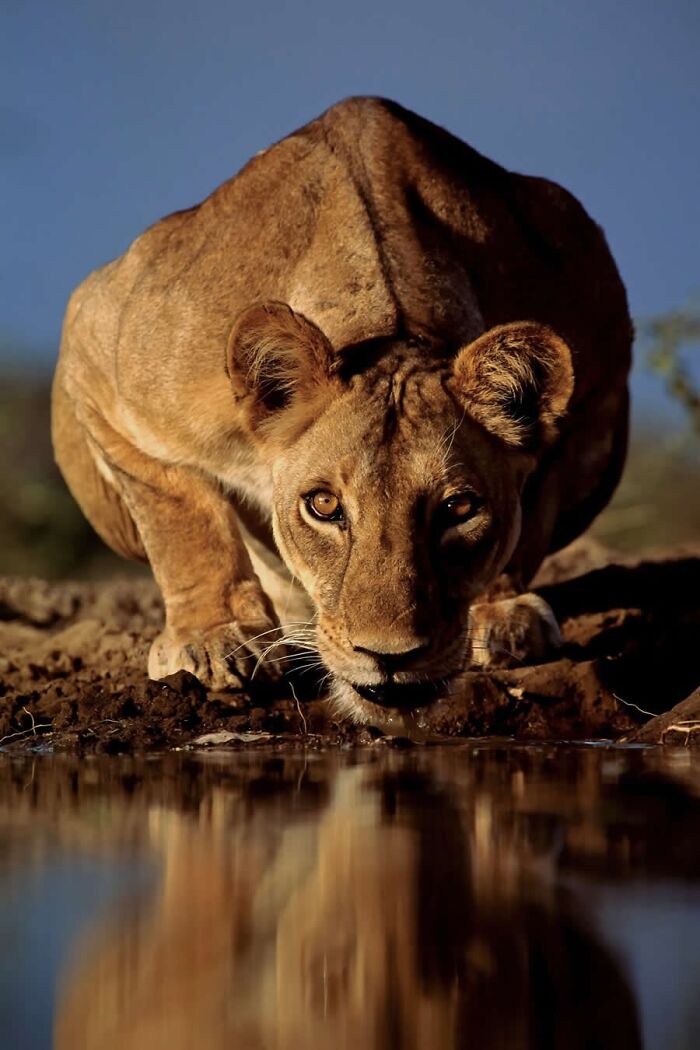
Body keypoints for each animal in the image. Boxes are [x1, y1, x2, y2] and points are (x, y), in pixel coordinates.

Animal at [52, 97, 631, 722]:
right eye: (323, 506)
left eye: (459, 508)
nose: (390, 656)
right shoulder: (101, 350)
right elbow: (180, 515)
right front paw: (214, 640)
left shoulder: (595, 380)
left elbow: (527, 522)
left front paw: (501, 613)